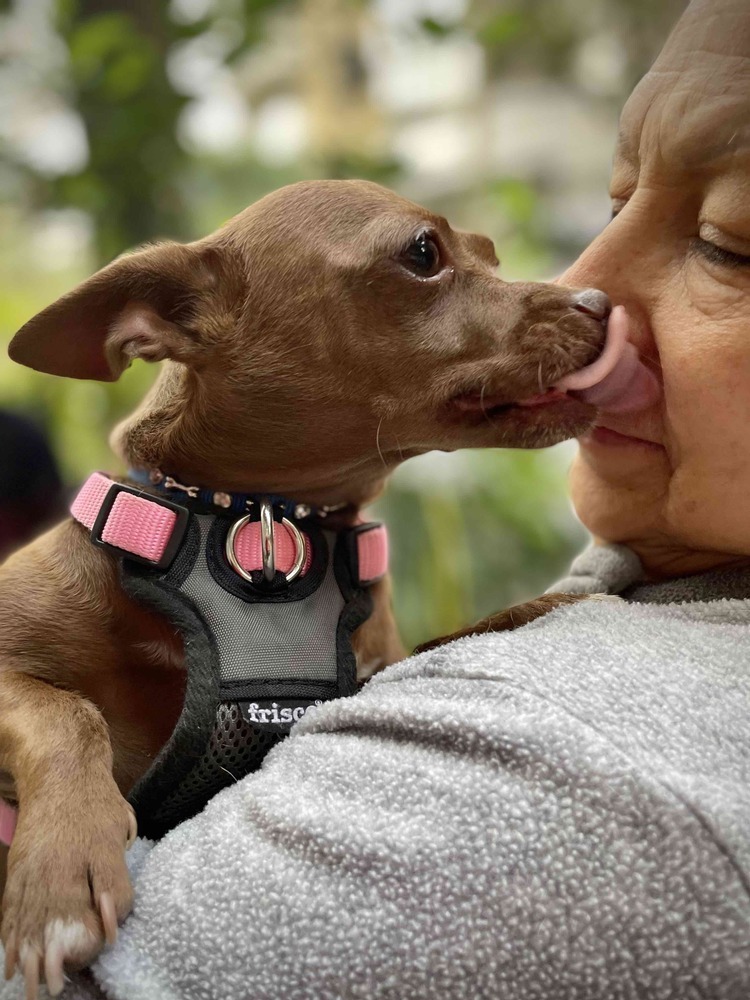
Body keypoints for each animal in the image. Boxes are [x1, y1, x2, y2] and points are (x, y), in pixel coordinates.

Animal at [1, 178, 612, 992]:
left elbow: (446, 639)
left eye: (491, 254)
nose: (601, 300)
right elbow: (63, 711)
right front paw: (61, 871)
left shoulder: (363, 671)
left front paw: (552, 600)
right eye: (424, 253)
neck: (263, 523)